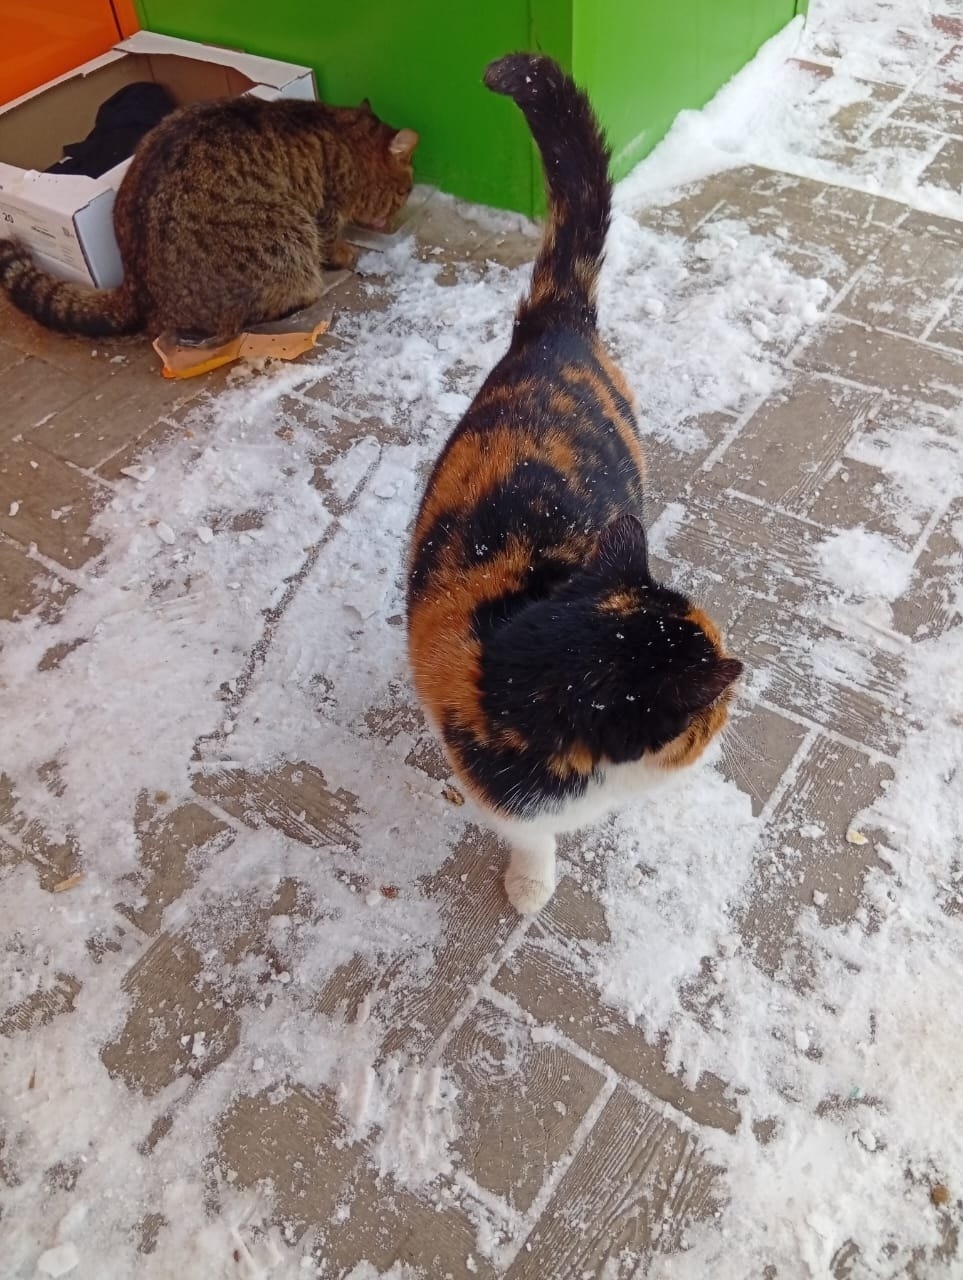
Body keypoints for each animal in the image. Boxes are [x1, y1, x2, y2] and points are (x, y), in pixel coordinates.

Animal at [0, 95, 418, 345]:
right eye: (405, 192)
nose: (394, 220)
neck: (340, 132)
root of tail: (135, 284)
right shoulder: (323, 209)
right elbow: (331, 239)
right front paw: (345, 252)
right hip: (286, 233)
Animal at [406, 54, 744, 915]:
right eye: (709, 709)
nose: (734, 710)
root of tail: (555, 318)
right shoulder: (500, 792)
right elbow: (531, 836)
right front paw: (532, 884)